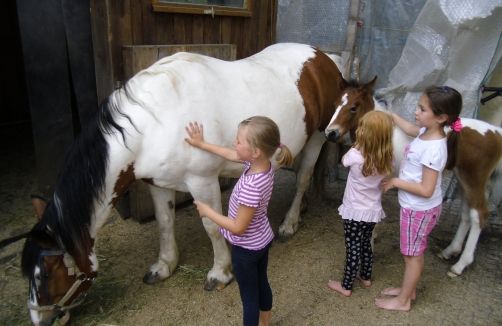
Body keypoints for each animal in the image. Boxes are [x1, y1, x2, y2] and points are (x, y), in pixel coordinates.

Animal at [20, 42, 356, 324]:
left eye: (45, 273)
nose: (39, 319)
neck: (154, 122)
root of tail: (324, 57)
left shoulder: (202, 182)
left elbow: (212, 227)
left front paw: (220, 273)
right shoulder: (158, 183)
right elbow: (164, 222)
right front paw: (164, 265)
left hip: (317, 138)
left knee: (302, 179)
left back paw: (289, 224)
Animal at [326, 81, 502, 278]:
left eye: (354, 107)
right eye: (335, 104)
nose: (330, 133)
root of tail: (496, 132)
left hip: (474, 178)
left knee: (479, 214)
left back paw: (460, 265)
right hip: (462, 178)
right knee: (466, 213)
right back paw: (450, 251)